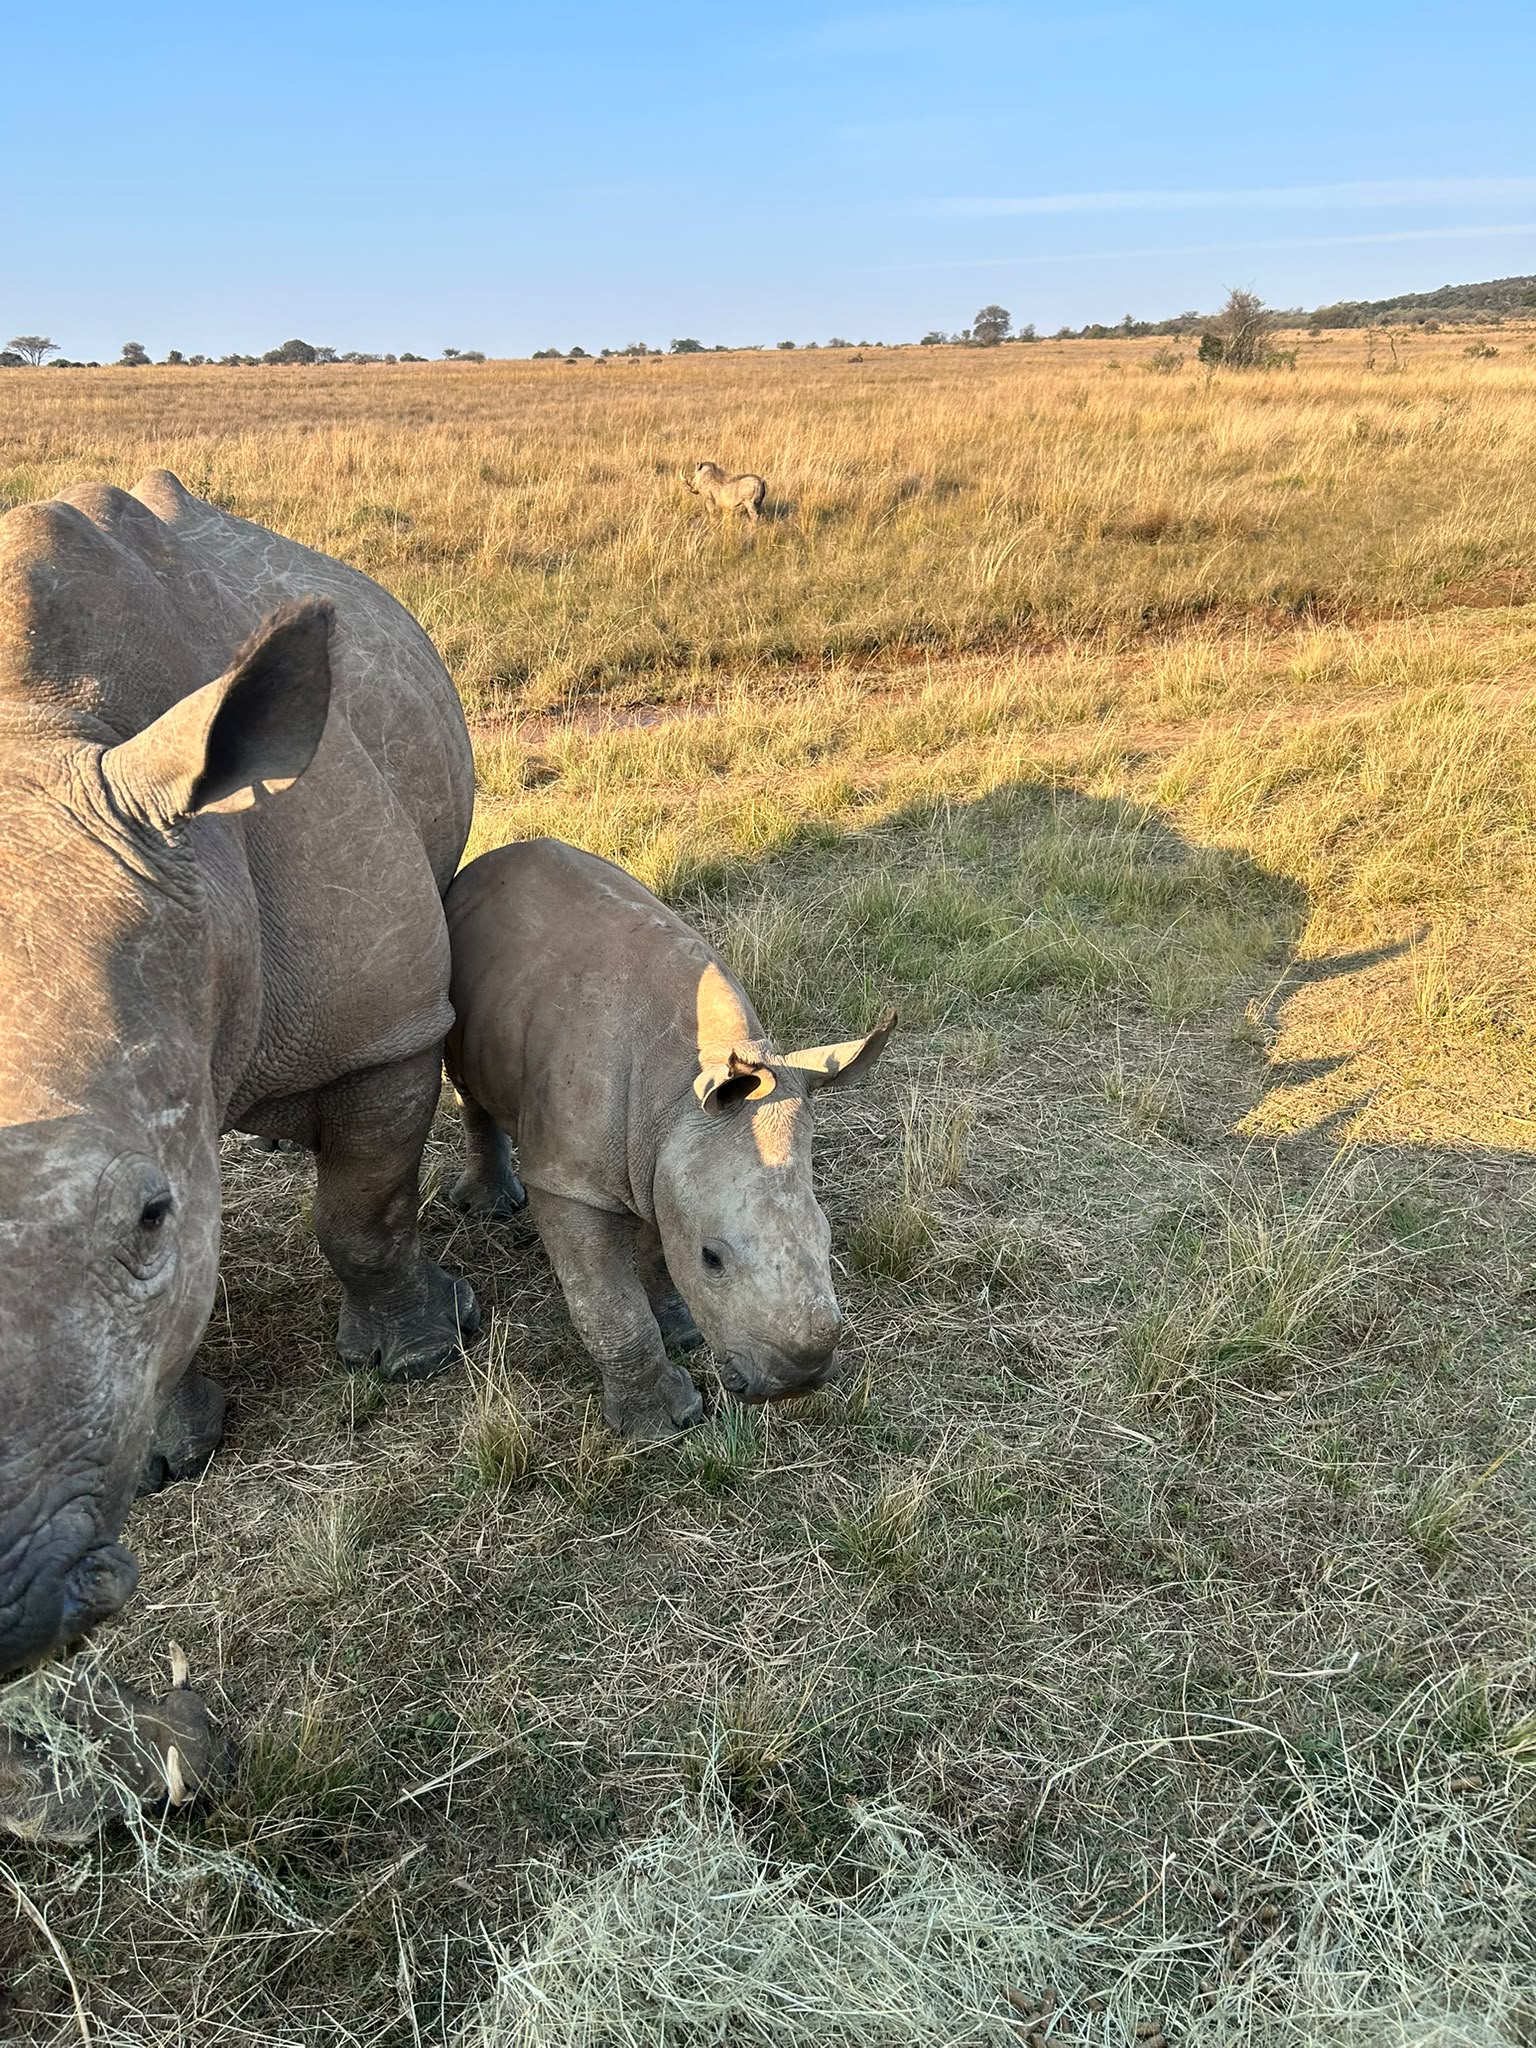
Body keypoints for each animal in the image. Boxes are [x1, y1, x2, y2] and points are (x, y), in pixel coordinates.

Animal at [0, 470, 478, 1692]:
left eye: (151, 1214)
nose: (12, 1609)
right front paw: (175, 1460)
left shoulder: (385, 1025)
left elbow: (364, 1205)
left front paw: (419, 1354)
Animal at [444, 838, 893, 1440]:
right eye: (713, 1259)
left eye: (827, 1241)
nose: (797, 1381)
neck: (679, 1095)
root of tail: (486, 861)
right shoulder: (570, 1182)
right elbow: (607, 1302)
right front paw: (657, 1424)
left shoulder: (671, 1151)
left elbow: (661, 1244)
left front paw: (682, 1333)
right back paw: (489, 1207)